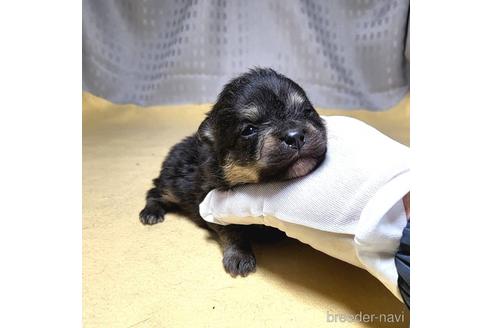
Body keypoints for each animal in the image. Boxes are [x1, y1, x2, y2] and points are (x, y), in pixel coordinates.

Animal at [139, 68, 326, 276]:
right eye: (249, 130)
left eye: (307, 111)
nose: (295, 136)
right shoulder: (212, 204)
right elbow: (232, 230)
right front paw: (239, 256)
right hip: (171, 183)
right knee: (154, 192)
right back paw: (151, 212)